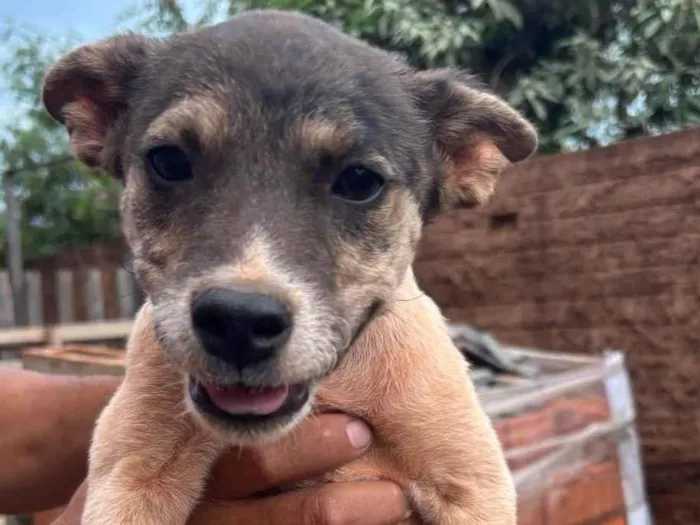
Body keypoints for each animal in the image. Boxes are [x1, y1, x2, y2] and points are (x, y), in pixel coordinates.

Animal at [42, 9, 536, 524]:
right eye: (169, 162)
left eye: (359, 181)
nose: (238, 321)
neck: (332, 389)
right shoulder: (129, 470)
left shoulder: (472, 482)